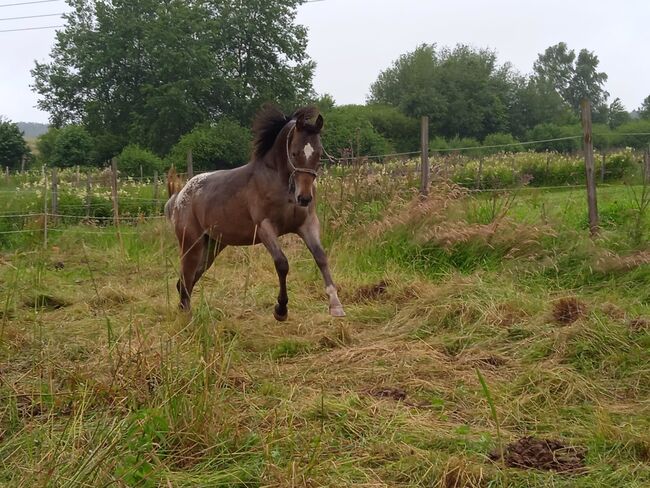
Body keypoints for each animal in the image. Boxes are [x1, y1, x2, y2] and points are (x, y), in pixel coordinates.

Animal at [162, 105, 344, 320]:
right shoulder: (265, 228)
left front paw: (336, 305)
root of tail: (178, 196)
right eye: (294, 153)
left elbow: (321, 257)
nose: (305, 198)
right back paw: (187, 318)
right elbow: (282, 263)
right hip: (191, 243)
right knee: (186, 278)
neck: (282, 186)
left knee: (187, 280)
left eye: (318, 154)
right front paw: (280, 310)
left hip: (213, 245)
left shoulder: (307, 224)